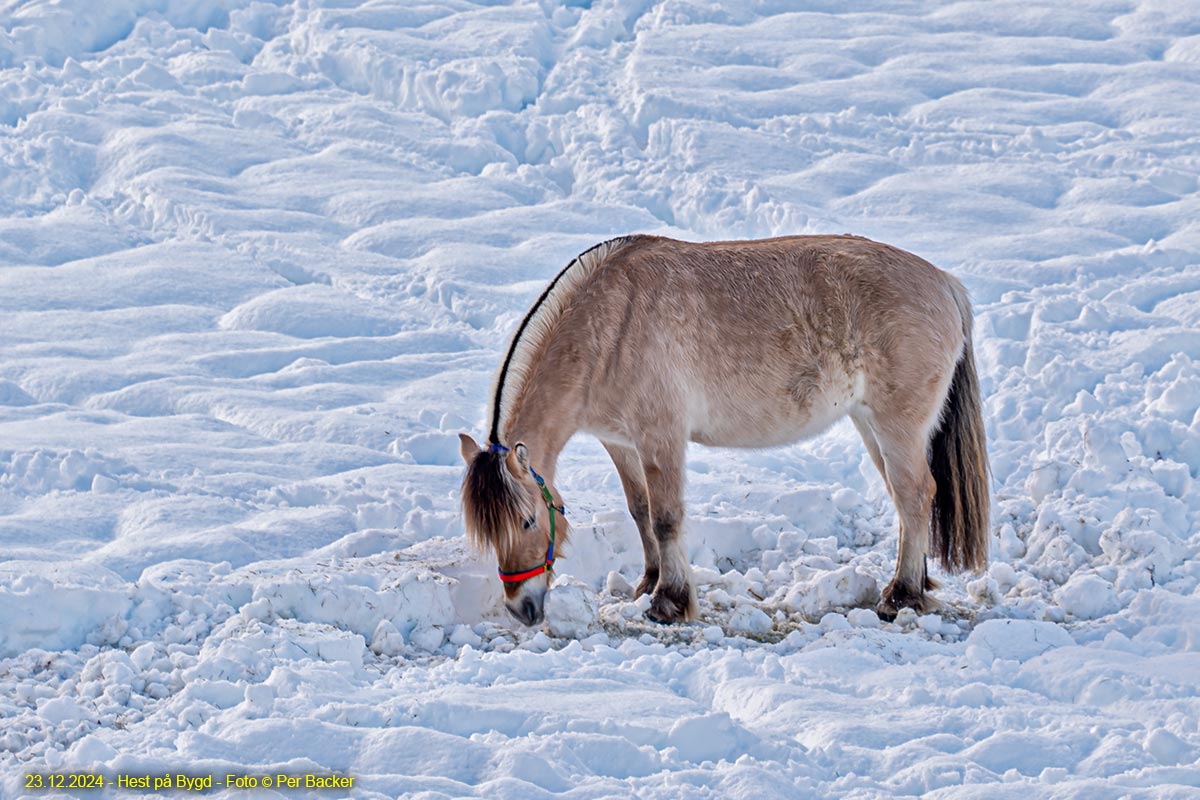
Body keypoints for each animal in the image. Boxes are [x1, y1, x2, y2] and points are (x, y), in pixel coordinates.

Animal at [453, 235, 988, 628]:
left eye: (526, 522)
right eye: (487, 531)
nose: (522, 609)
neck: (608, 327)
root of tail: (946, 284)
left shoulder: (661, 437)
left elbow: (667, 518)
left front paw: (670, 602)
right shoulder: (621, 443)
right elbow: (640, 510)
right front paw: (649, 582)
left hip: (898, 426)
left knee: (916, 495)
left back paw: (901, 596)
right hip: (871, 425)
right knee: (906, 501)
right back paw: (914, 584)